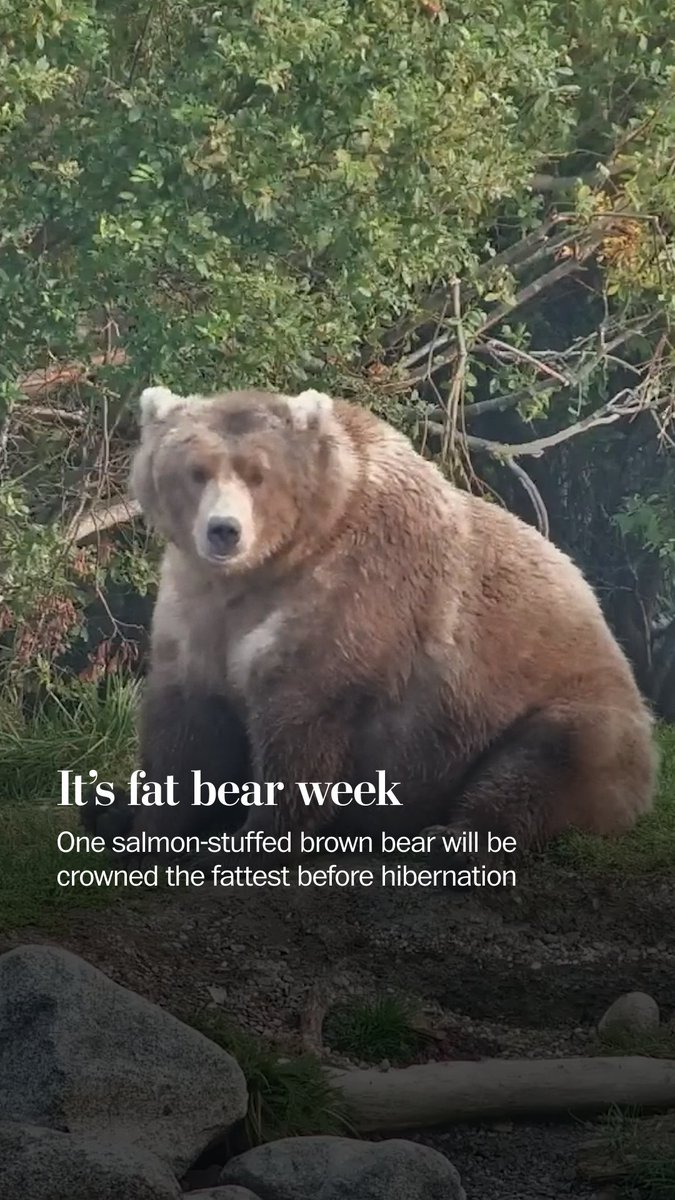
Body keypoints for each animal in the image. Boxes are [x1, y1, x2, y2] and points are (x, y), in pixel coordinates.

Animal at [97, 381, 657, 865]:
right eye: (196, 471)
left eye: (258, 473)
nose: (224, 531)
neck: (266, 570)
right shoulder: (199, 611)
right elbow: (188, 725)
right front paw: (149, 828)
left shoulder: (352, 599)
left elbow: (300, 725)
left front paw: (249, 840)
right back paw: (106, 810)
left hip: (567, 708)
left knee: (536, 769)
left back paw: (449, 840)